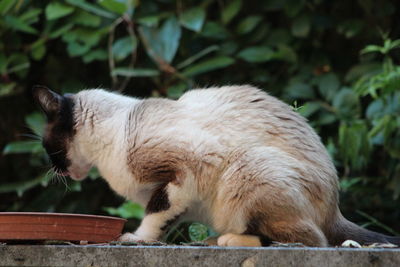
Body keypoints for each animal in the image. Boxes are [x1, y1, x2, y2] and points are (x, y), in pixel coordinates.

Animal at [32, 85, 398, 247]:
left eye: (49, 149)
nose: (55, 171)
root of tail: (336, 208)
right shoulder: (180, 194)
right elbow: (164, 216)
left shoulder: (187, 168)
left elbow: (154, 214)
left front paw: (136, 239)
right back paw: (215, 241)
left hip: (249, 168)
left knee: (311, 239)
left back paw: (230, 242)